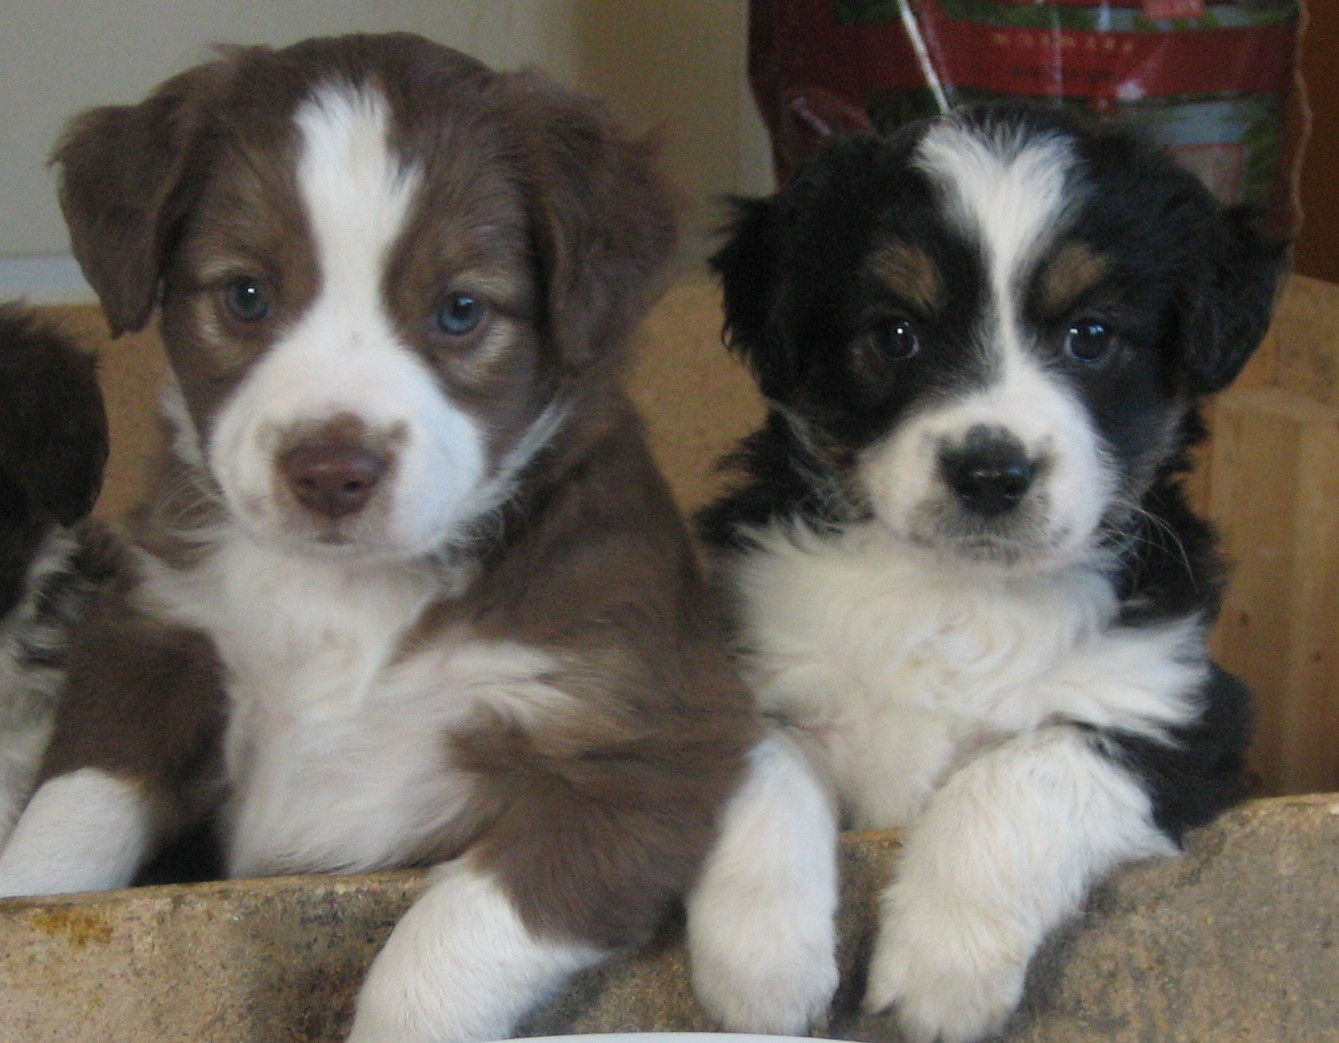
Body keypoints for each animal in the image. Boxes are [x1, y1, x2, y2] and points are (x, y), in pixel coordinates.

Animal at [0, 32, 771, 1043]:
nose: (331, 472)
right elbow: (69, 813)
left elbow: (443, 941)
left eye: (461, 309)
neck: (348, 595)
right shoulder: (153, 638)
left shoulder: (637, 750)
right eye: (245, 294)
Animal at [685, 101, 1290, 1043]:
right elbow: (762, 771)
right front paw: (761, 960)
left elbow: (1019, 773)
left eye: (1090, 335)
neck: (956, 593)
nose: (990, 472)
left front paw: (942, 966)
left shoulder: (1180, 716)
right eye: (894, 334)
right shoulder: (744, 660)